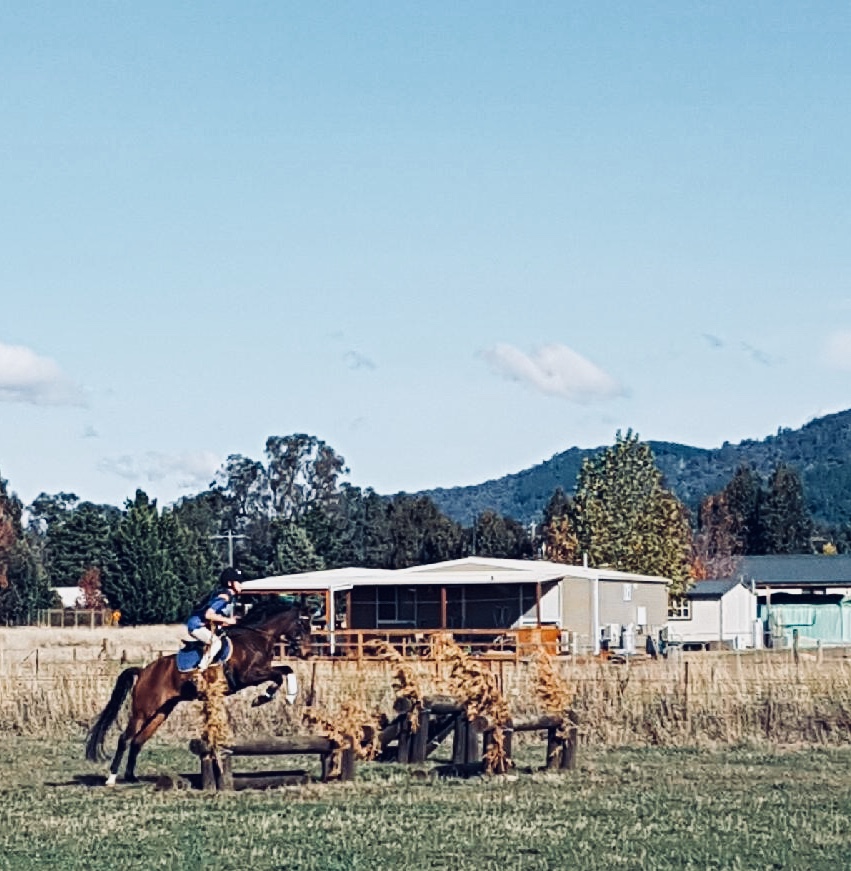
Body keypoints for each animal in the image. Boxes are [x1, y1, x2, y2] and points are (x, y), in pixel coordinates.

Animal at [85, 596, 312, 788]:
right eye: (303, 624)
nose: (307, 653)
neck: (255, 638)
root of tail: (143, 671)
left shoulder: (260, 672)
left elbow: (285, 670)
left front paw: (281, 696)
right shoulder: (248, 676)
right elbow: (280, 674)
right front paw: (265, 698)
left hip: (161, 712)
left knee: (138, 741)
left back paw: (132, 777)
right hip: (143, 710)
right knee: (125, 738)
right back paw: (111, 779)